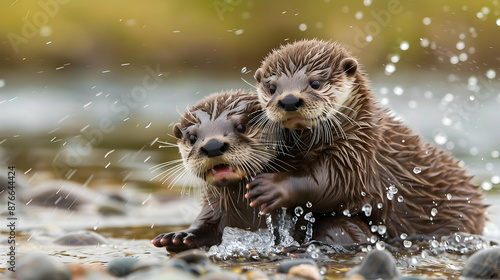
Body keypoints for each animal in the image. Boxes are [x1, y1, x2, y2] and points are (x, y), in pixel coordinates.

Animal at [248, 38, 486, 241]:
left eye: (315, 83)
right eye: (272, 88)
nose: (289, 100)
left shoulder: (358, 153)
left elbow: (328, 184)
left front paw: (271, 187)